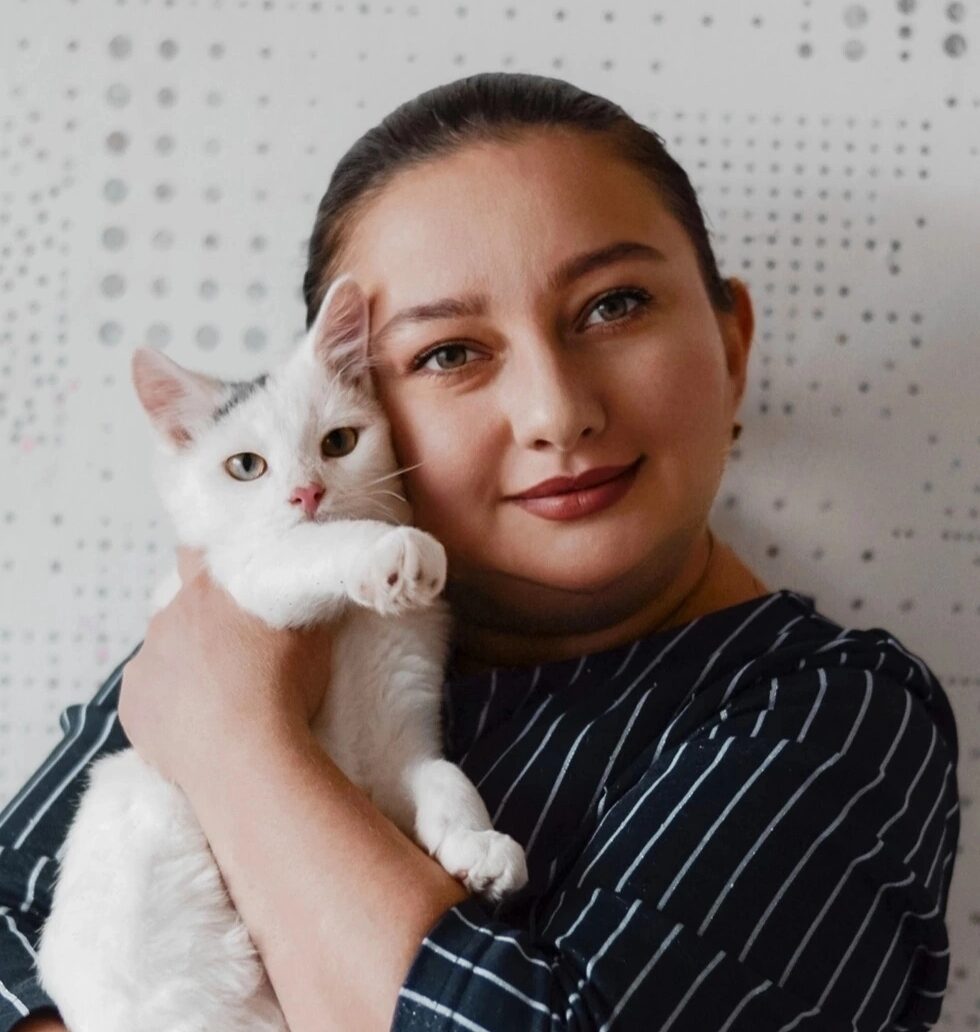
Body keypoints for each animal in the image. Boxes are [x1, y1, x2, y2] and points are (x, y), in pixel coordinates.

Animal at [35, 274, 529, 1032]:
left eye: (340, 442)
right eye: (246, 466)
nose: (308, 493)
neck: (354, 622)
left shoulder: (395, 742)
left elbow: (442, 776)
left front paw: (479, 847)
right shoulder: (243, 578)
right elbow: (309, 549)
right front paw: (389, 550)